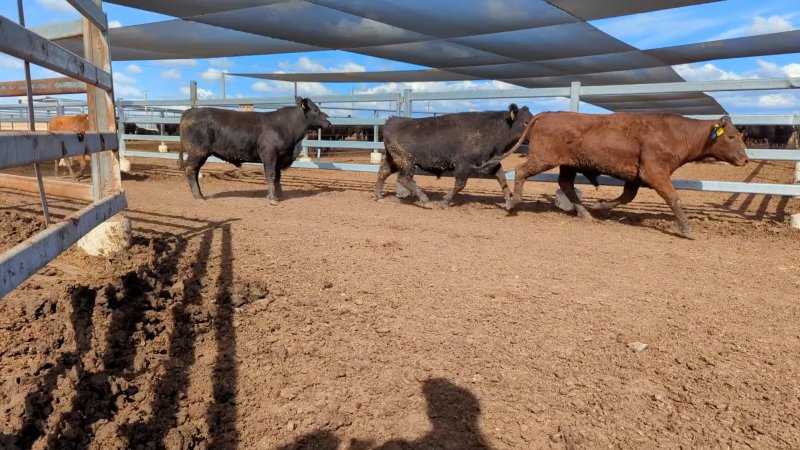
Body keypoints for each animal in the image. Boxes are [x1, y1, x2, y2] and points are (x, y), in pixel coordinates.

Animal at [178, 97, 331, 204]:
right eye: (315, 110)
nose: (329, 122)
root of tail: (191, 111)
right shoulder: (269, 154)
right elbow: (270, 175)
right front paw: (272, 198)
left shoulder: (279, 157)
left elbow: (278, 176)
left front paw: (279, 194)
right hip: (197, 152)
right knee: (191, 170)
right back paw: (199, 196)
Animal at [374, 104, 533, 208]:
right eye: (526, 122)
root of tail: (393, 120)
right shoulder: (463, 165)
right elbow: (460, 185)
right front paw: (445, 201)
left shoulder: (490, 162)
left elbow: (501, 177)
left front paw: (508, 199)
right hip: (405, 160)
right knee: (404, 179)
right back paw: (425, 200)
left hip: (393, 159)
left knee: (383, 173)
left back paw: (378, 196)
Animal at [500, 112, 748, 239]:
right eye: (731, 137)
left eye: (739, 136)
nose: (745, 160)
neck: (677, 133)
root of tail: (547, 114)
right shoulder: (654, 172)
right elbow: (673, 198)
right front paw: (687, 230)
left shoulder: (635, 177)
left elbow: (626, 197)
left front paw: (600, 206)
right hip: (543, 158)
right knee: (521, 171)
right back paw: (512, 202)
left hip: (568, 164)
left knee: (566, 184)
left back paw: (585, 213)